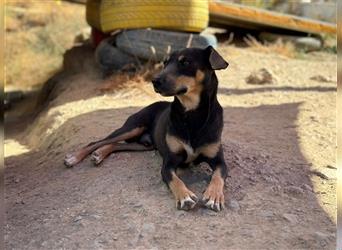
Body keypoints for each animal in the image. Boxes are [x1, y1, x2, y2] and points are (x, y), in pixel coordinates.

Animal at [64, 46, 230, 212]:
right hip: (133, 127)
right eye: (165, 63)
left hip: (145, 145)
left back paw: (100, 153)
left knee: (117, 144)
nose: (155, 81)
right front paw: (185, 197)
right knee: (97, 142)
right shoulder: (169, 162)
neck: (192, 114)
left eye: (185, 62)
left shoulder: (219, 161)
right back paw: (75, 157)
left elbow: (218, 176)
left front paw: (214, 196)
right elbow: (176, 180)